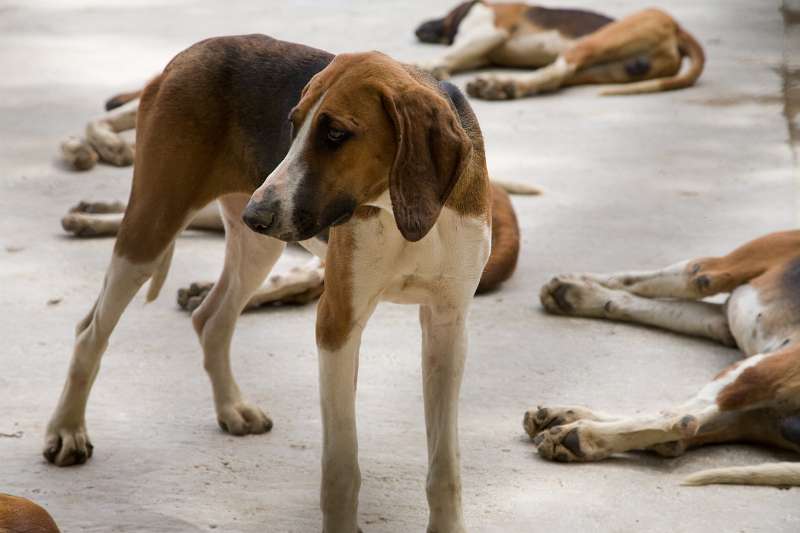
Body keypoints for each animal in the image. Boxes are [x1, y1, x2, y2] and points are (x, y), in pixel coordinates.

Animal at [48, 35, 524, 528]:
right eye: (292, 126)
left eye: (335, 134)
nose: (257, 214)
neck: (397, 211)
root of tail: (187, 55)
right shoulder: (336, 324)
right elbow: (341, 466)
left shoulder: (448, 327)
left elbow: (444, 466)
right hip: (152, 231)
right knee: (90, 332)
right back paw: (67, 431)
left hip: (257, 248)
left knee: (210, 319)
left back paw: (231, 407)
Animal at [416, 1, 704, 99]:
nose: (418, 29)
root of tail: (678, 28)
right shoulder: (481, 51)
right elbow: (456, 56)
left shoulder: (490, 31)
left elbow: (449, 54)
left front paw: (426, 65)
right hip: (608, 67)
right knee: (558, 78)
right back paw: (505, 86)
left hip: (598, 41)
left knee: (558, 71)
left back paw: (501, 84)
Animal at [524, 231, 800, 484]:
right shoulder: (721, 320)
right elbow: (653, 304)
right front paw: (580, 294)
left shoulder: (704, 272)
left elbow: (632, 280)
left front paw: (577, 287)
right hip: (758, 416)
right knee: (676, 437)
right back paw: (563, 418)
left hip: (756, 370)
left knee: (681, 419)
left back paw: (580, 435)